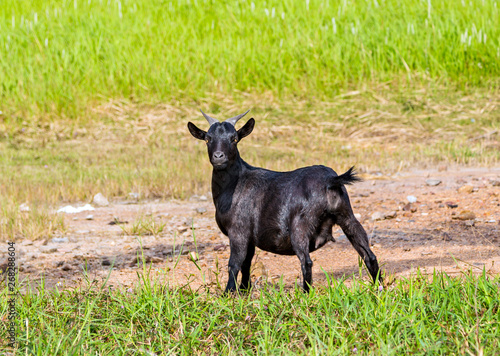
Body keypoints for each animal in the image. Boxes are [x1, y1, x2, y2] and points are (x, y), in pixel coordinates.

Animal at [188, 110, 382, 294]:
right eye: (208, 139)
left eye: (234, 139)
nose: (218, 156)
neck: (236, 182)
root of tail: (331, 180)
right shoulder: (250, 238)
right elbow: (246, 263)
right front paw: (244, 290)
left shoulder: (238, 231)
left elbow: (234, 264)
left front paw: (228, 293)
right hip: (347, 216)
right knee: (369, 255)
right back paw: (379, 288)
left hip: (300, 225)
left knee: (306, 262)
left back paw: (305, 294)